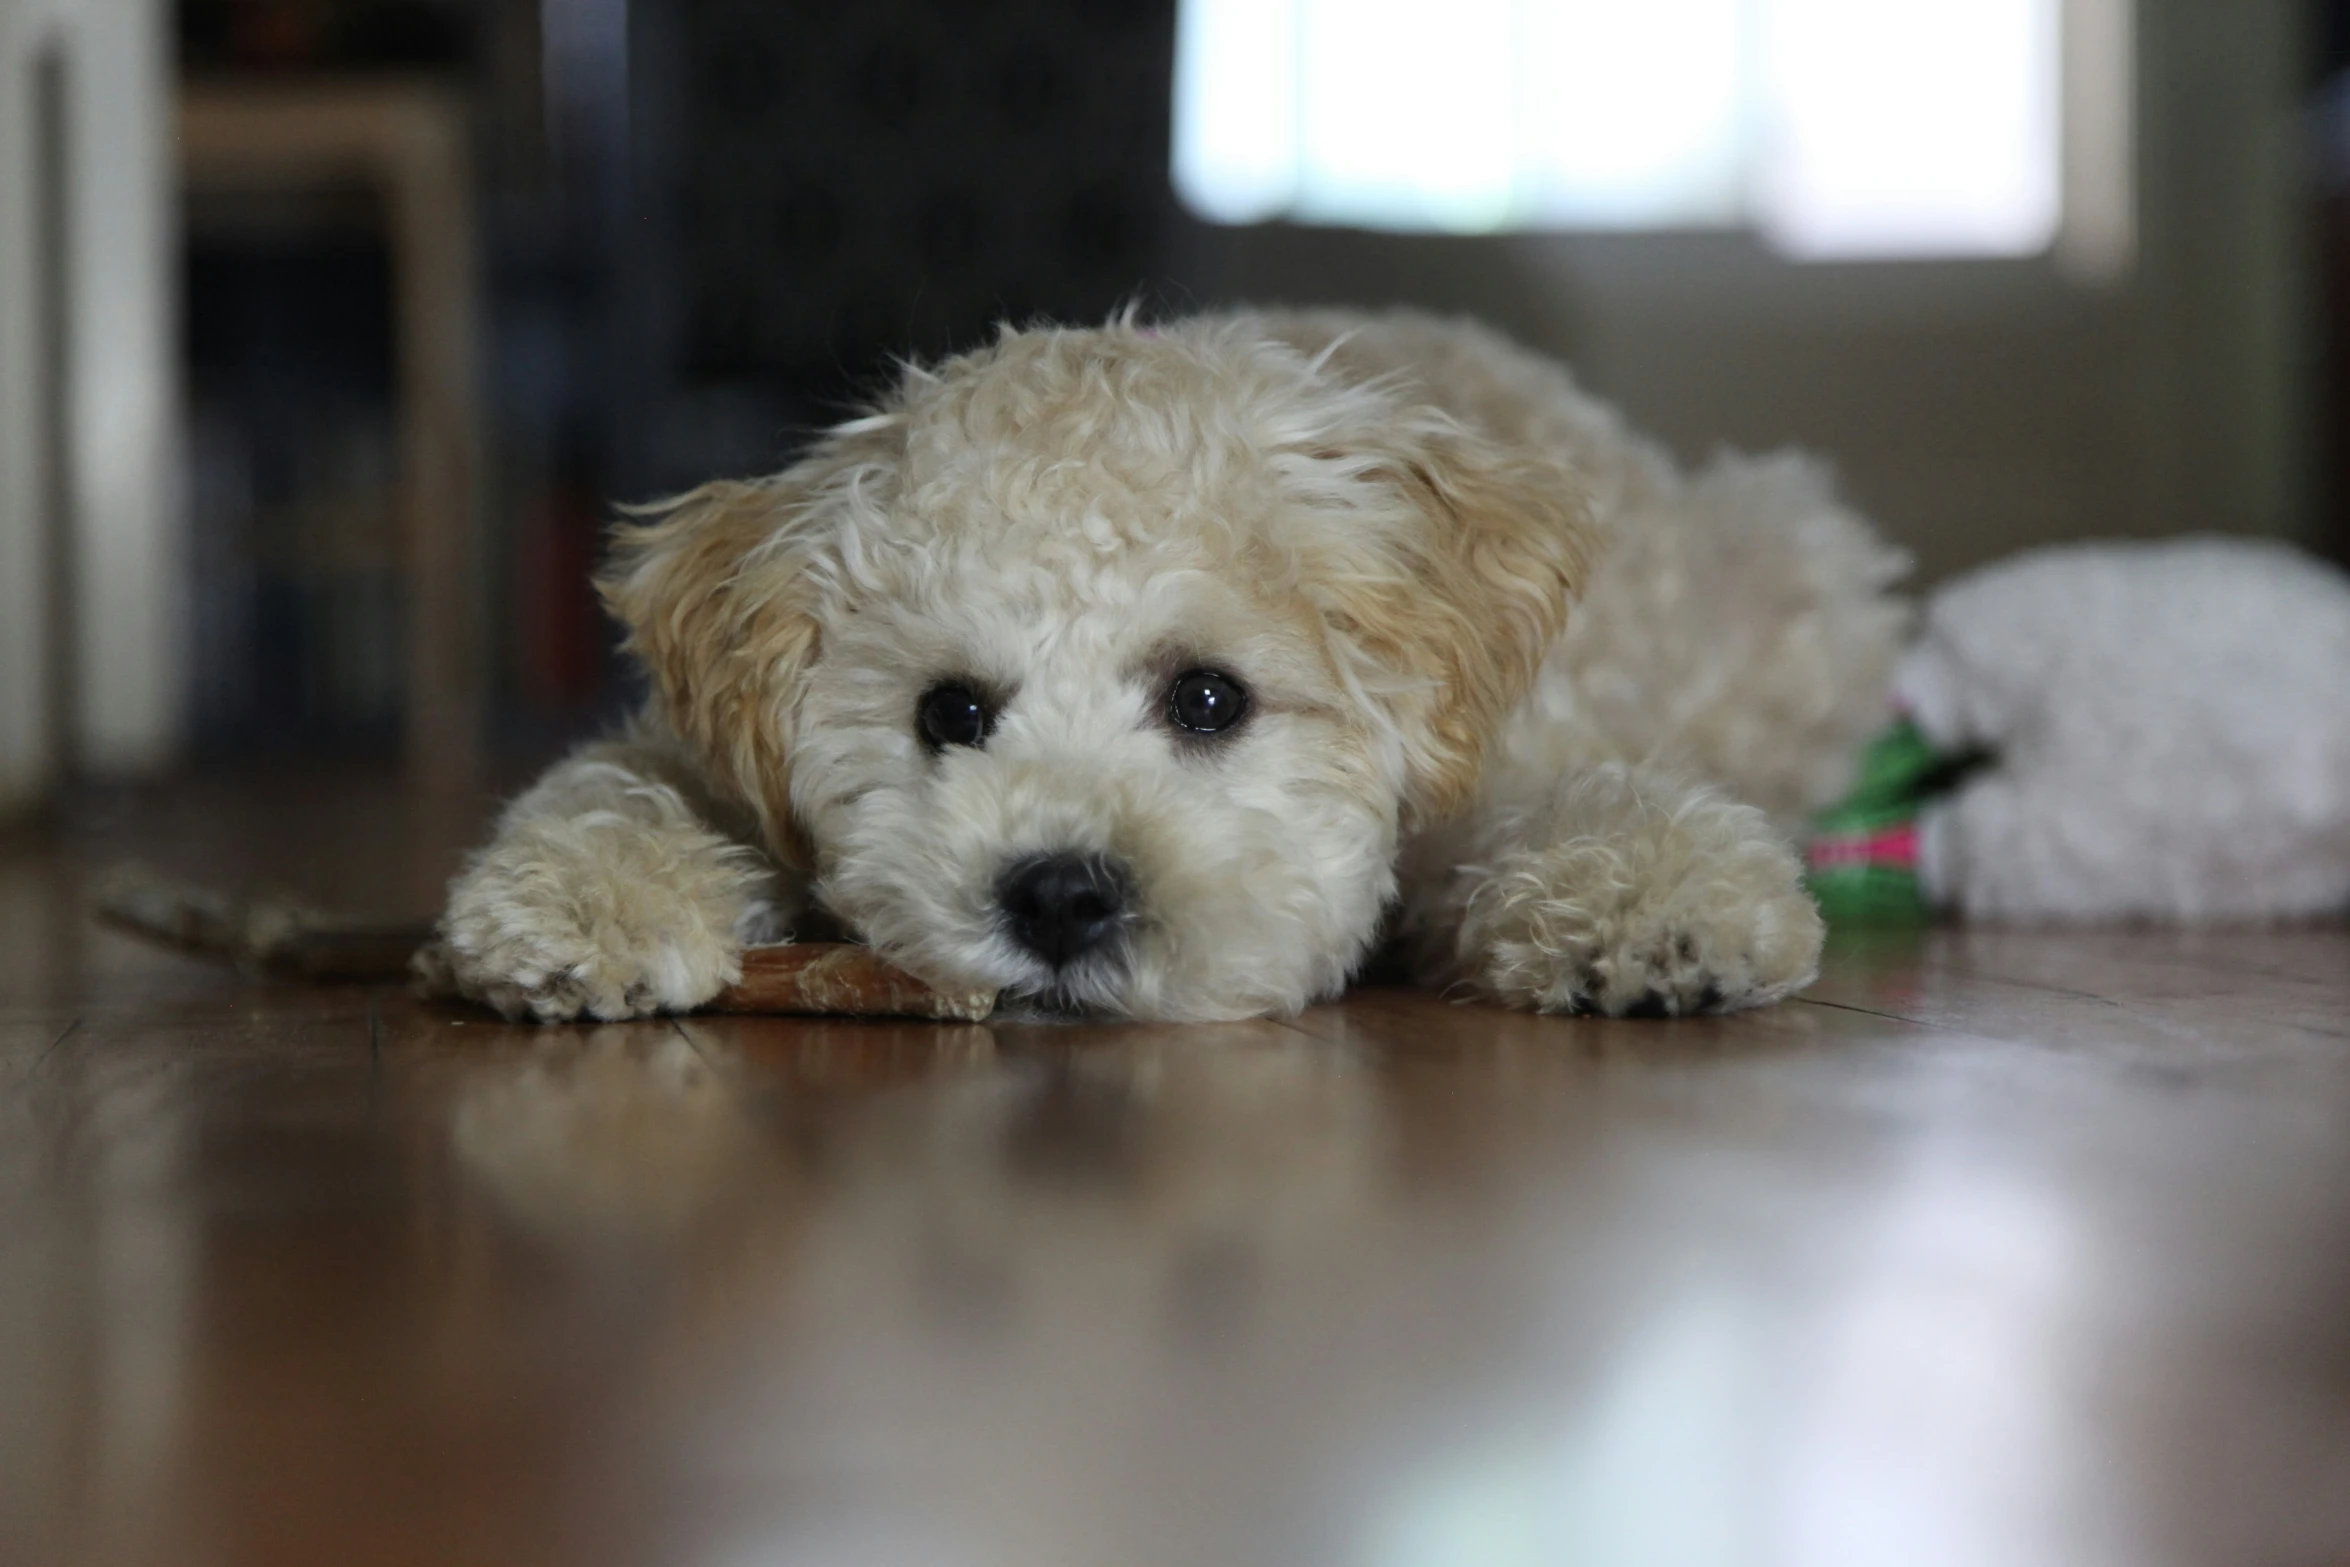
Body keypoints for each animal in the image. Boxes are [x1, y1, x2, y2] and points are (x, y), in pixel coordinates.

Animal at [432, 310, 1908, 1024]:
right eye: (948, 711)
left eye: (1209, 697)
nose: (1059, 894)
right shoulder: (701, 747)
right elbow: (619, 784)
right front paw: (570, 908)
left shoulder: (1500, 741)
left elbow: (1593, 802)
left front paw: (1657, 908)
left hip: (1792, 565)